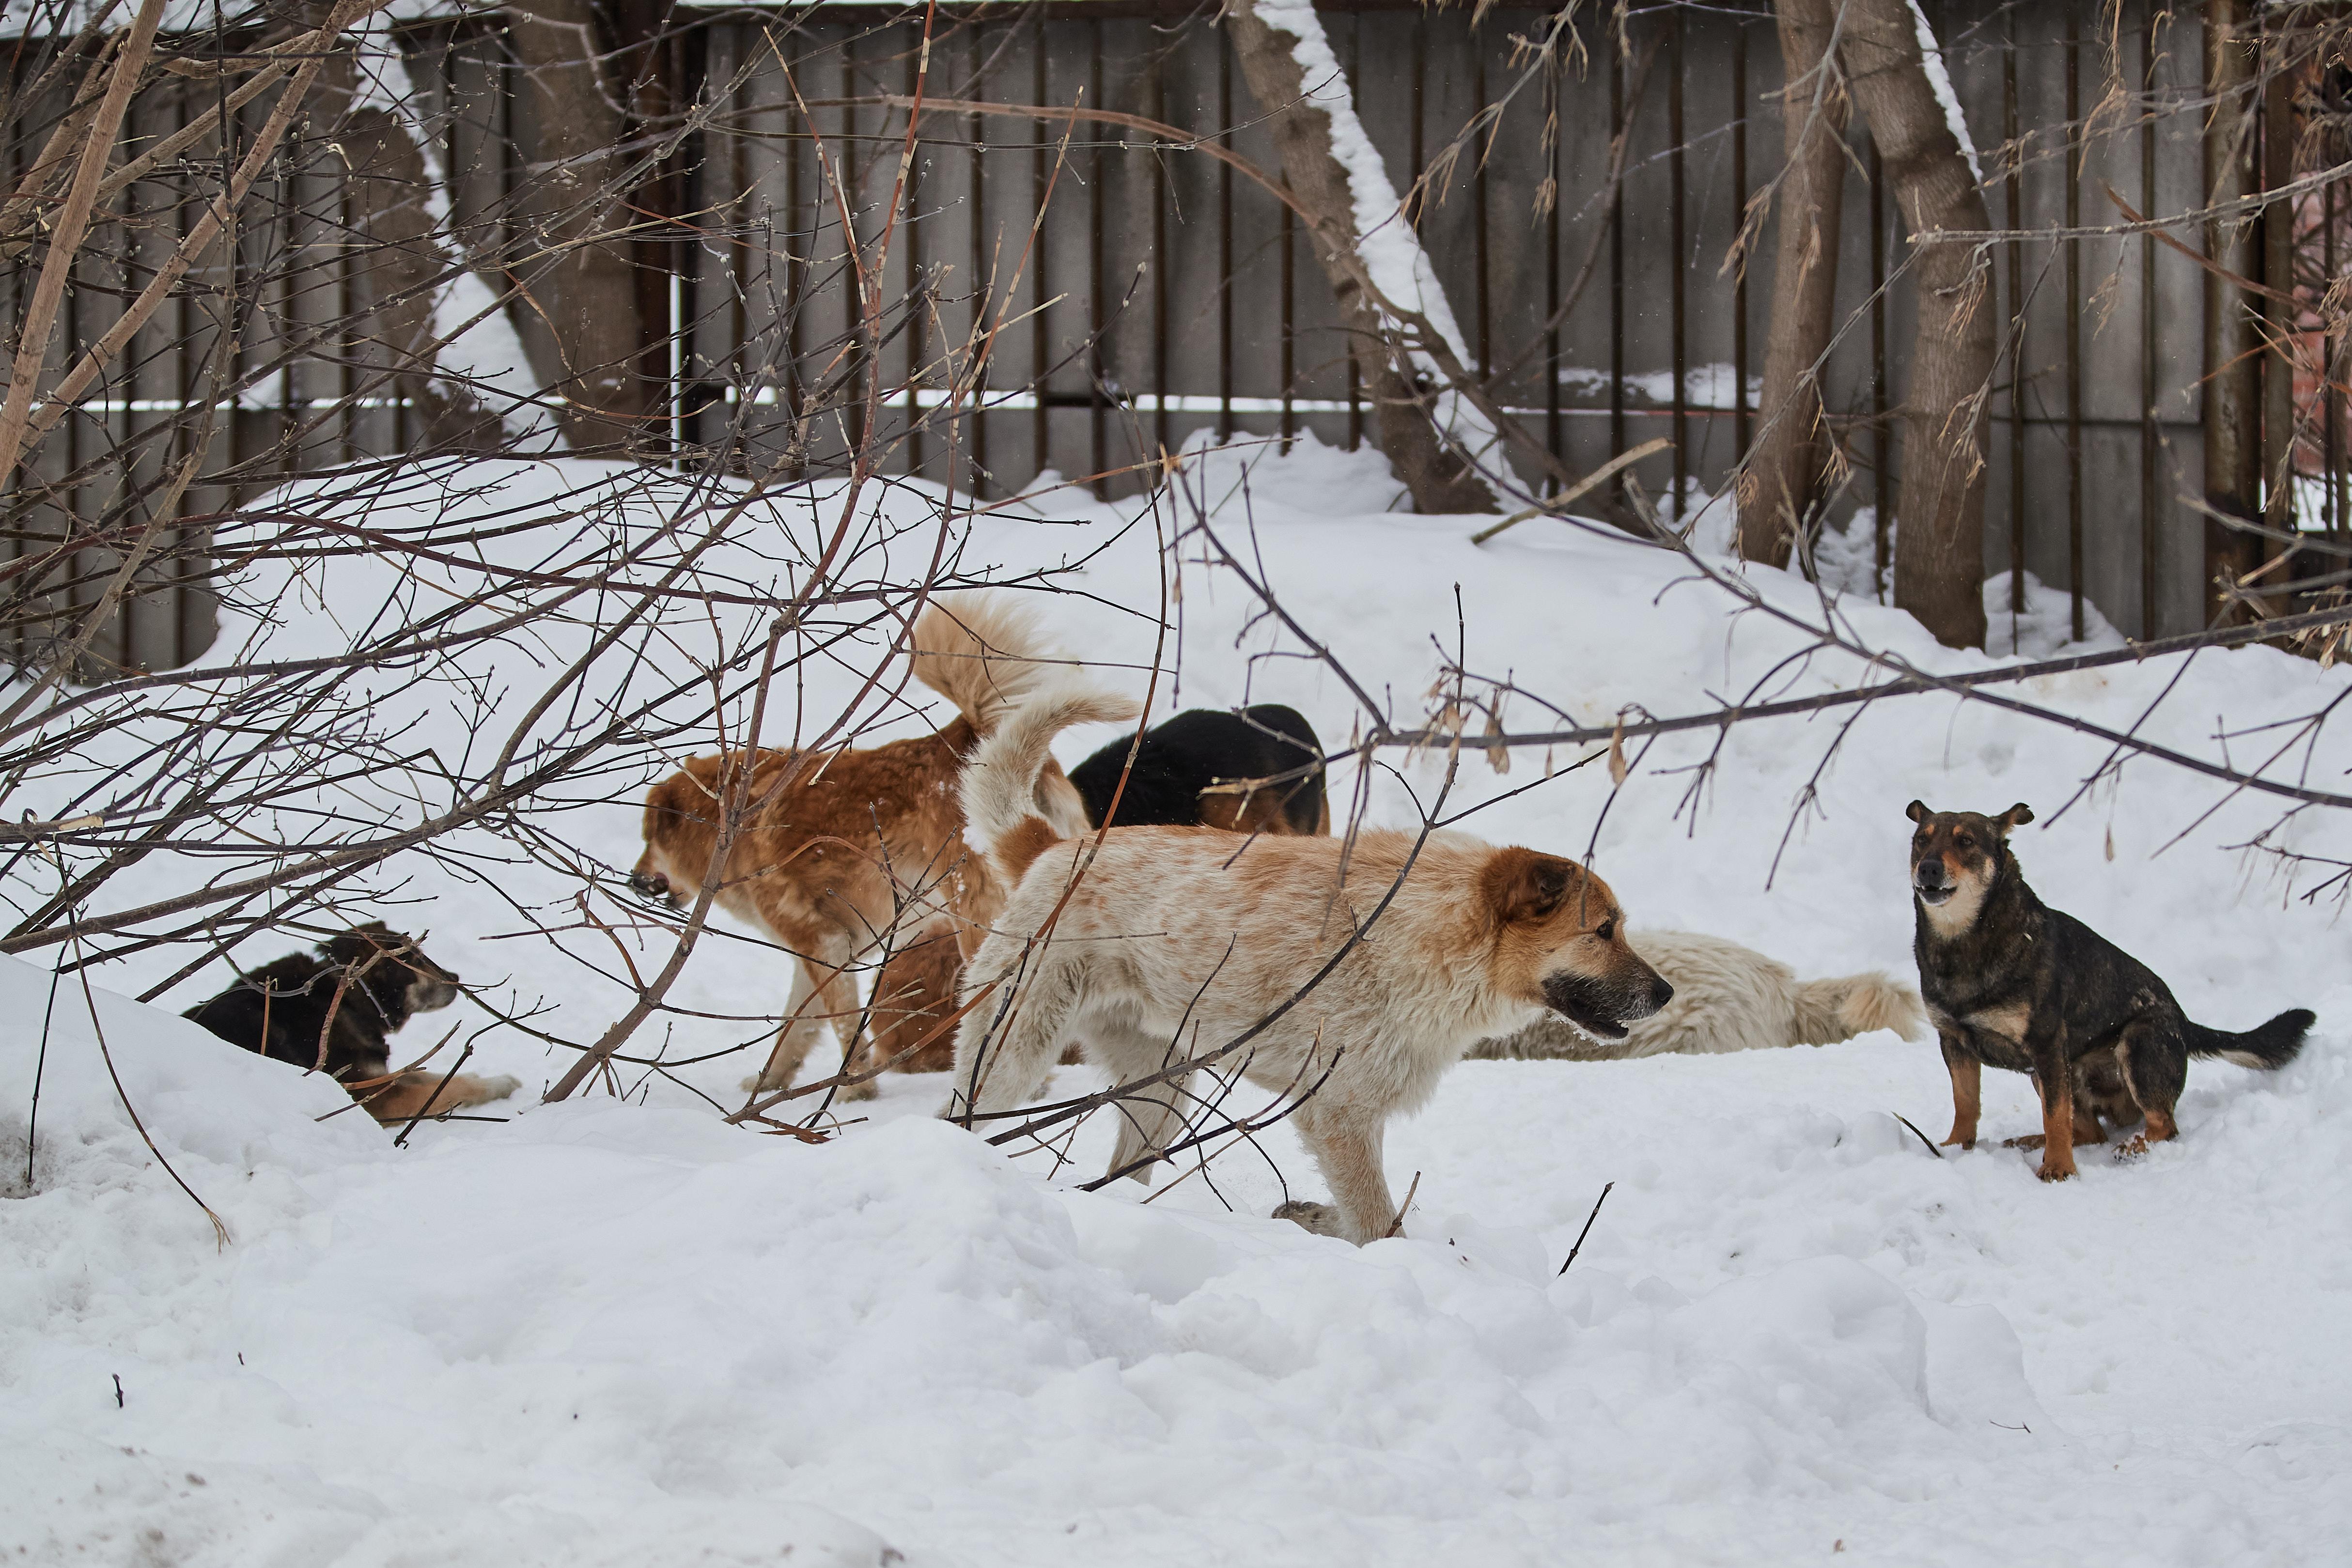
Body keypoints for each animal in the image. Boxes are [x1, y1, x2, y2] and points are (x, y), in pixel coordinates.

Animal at [181, 921, 517, 1128]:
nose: (457, 979)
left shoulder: (377, 1077)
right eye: (415, 960)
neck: (345, 1000)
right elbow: (448, 1087)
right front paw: (498, 1085)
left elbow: (434, 1076)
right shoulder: (374, 1099)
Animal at [625, 594, 1101, 1100]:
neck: (737, 819)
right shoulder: (813, 954)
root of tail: (967, 737)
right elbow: (796, 1026)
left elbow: (842, 1026)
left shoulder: (824, 945)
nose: (634, 880)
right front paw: (771, 1083)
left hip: (976, 920)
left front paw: (852, 1092)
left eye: (649, 839)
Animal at [1900, 804, 2305, 1184]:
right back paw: (2032, 1141)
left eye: (1965, 841)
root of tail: (2185, 1025)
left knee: (2162, 1126)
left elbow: (2055, 1116)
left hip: (2136, 1045)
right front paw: (1954, 1149)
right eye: (1920, 840)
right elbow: (1965, 1102)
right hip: (2053, 1072)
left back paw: (2130, 1145)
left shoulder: (2046, 1043)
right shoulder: (1954, 1040)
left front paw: (2059, 1169)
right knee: (2091, 1131)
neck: (1964, 942)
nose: (1928, 869)